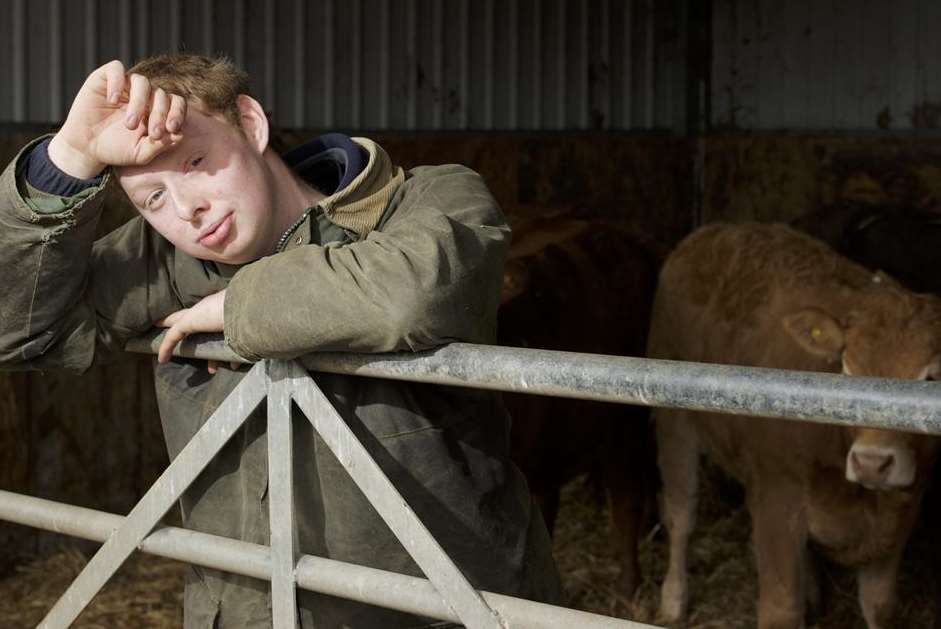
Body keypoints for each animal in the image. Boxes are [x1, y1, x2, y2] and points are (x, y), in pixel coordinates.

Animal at [648, 223, 940, 628]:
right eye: (847, 369)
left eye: (931, 377)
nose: (871, 463)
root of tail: (712, 232)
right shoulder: (777, 502)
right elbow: (781, 608)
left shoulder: (899, 517)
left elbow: (879, 606)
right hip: (674, 421)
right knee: (680, 513)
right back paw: (673, 600)